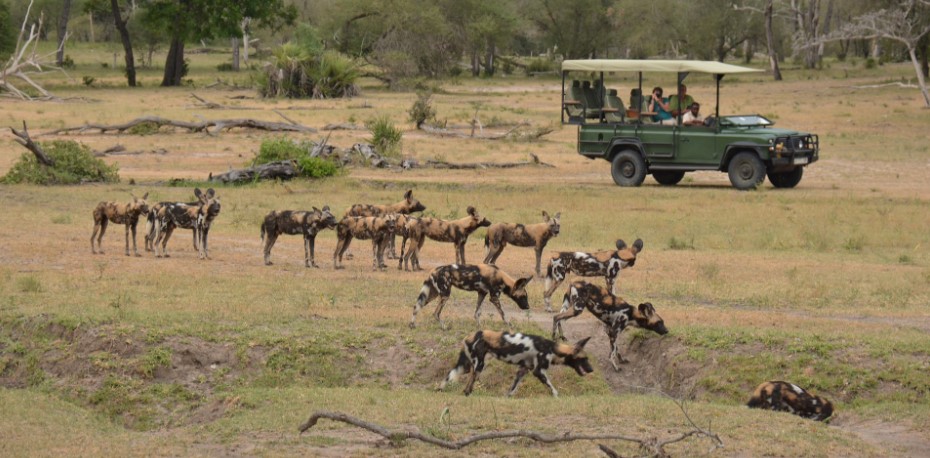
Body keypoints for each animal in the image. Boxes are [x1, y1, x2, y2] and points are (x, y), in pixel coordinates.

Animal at [438, 330, 592, 398]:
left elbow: (512, 388)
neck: (553, 349)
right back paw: (467, 394)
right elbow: (553, 388)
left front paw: (507, 397)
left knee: (449, 375)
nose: (591, 370)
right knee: (468, 386)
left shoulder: (523, 370)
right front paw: (556, 396)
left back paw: (440, 388)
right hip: (479, 365)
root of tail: (470, 335)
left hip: (465, 366)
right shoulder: (538, 371)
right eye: (584, 359)